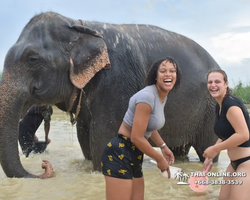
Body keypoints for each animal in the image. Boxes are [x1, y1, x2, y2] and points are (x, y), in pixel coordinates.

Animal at [0, 11, 219, 178]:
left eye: (32, 59)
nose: (45, 165)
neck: (79, 25)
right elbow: (85, 138)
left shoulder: (116, 79)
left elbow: (104, 139)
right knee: (179, 149)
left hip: (211, 108)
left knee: (207, 149)